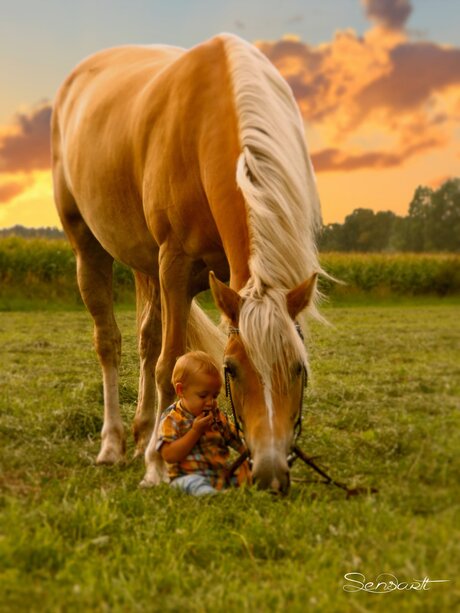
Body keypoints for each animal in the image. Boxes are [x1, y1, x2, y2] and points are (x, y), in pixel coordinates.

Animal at [51, 32, 324, 492]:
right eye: (231, 368)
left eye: (299, 367)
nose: (270, 471)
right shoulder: (174, 269)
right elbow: (171, 364)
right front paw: (156, 466)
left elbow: (161, 353)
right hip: (89, 252)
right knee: (109, 343)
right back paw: (113, 445)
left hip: (145, 265)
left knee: (146, 340)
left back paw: (142, 432)